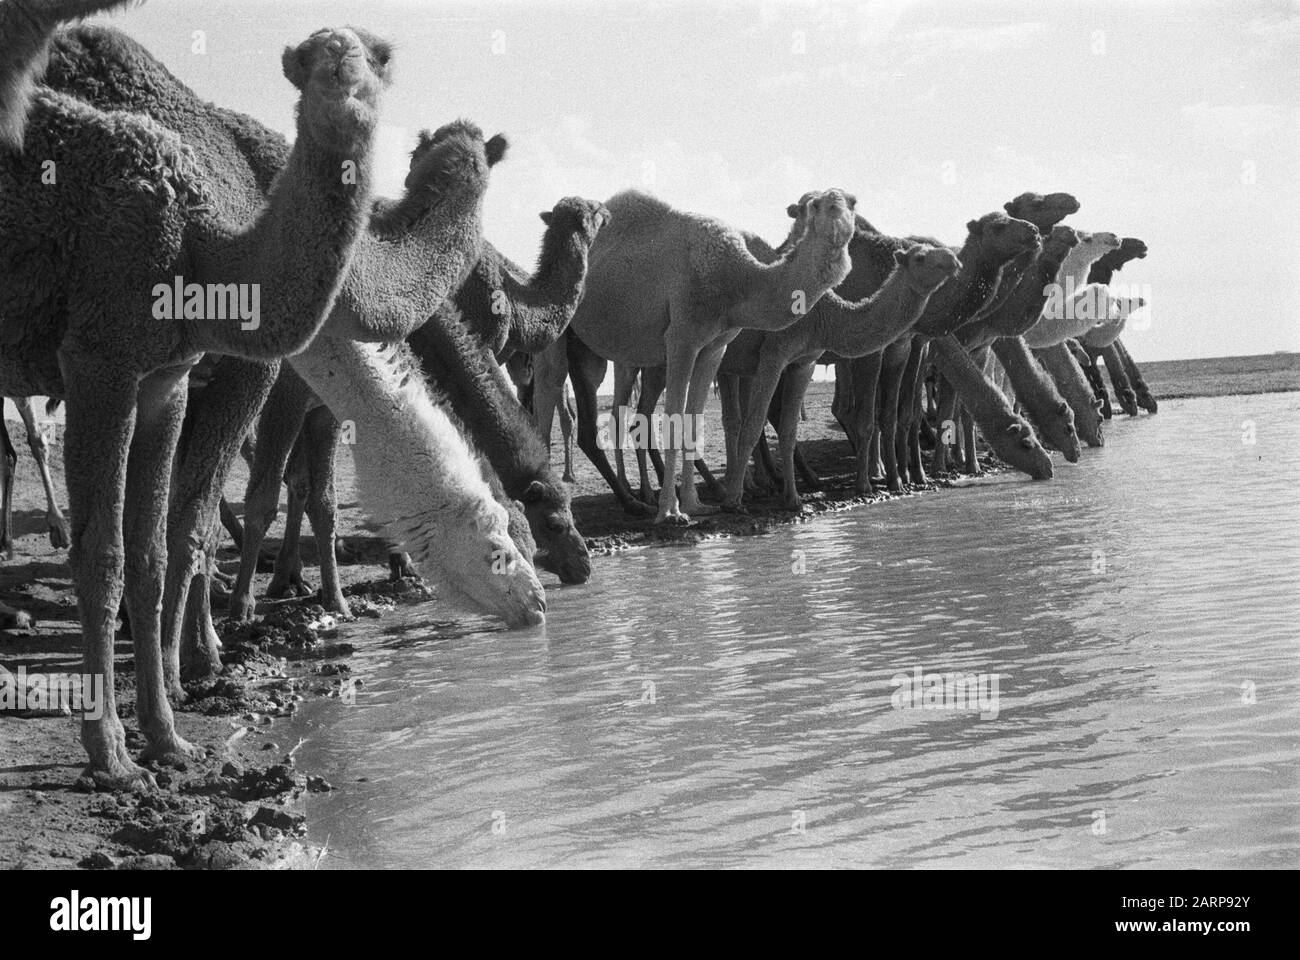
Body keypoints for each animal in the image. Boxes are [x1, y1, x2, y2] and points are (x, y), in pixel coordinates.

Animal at [0, 1, 397, 785]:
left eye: (373, 61)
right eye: (312, 66)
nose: (350, 103)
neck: (199, 247)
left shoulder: (165, 378)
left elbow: (150, 553)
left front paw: (166, 737)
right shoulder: (99, 360)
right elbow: (103, 555)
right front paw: (112, 753)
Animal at [556, 189, 852, 520]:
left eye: (852, 202)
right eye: (815, 206)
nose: (837, 211)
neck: (735, 279)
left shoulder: (714, 345)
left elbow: (693, 421)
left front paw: (695, 504)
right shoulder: (682, 337)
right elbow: (673, 418)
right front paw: (671, 511)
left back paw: (635, 499)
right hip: (569, 340)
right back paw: (634, 501)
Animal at [717, 235, 961, 509]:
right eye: (920, 257)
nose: (953, 259)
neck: (821, 314)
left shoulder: (804, 362)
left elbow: (789, 429)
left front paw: (793, 499)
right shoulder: (774, 353)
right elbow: (754, 424)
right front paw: (733, 501)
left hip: (731, 365)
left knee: (731, 419)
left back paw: (748, 486)